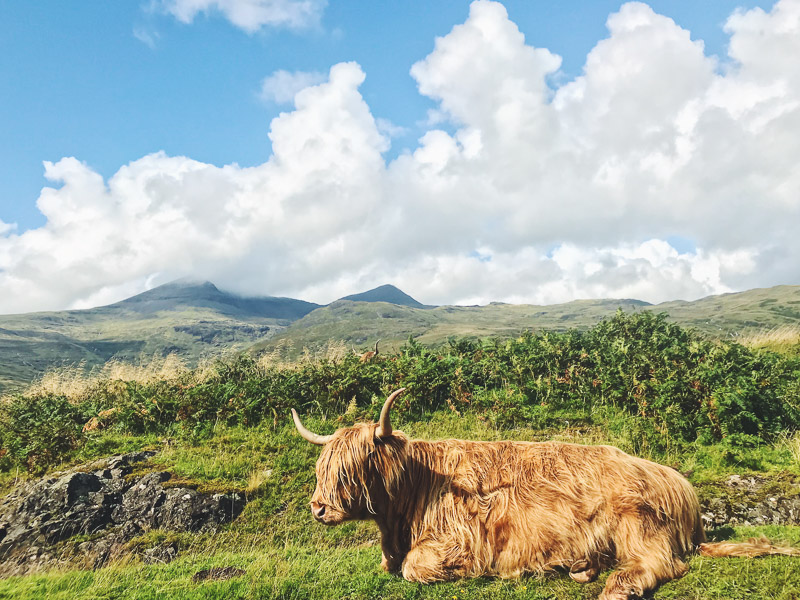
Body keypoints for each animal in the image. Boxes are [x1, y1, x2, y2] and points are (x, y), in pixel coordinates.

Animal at [294, 386, 800, 596]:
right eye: (322, 468)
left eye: (351, 469)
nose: (317, 509)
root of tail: (681, 486)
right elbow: (391, 564)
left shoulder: (460, 539)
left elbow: (415, 568)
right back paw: (583, 567)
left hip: (636, 521)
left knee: (660, 564)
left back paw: (616, 588)